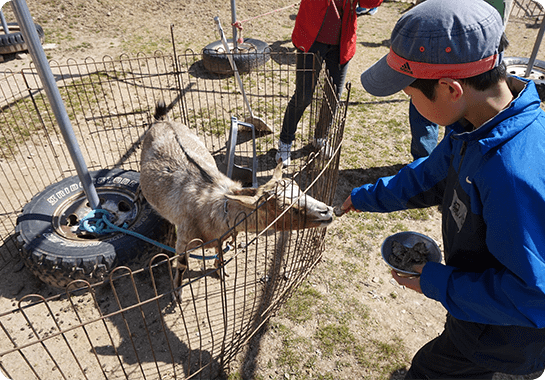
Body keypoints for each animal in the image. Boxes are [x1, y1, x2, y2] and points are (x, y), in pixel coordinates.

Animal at [138, 101, 334, 300]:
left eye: (300, 189)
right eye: (287, 208)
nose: (327, 211)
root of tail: (163, 121)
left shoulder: (222, 235)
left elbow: (220, 250)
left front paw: (220, 270)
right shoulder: (184, 240)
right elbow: (182, 264)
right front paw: (177, 292)